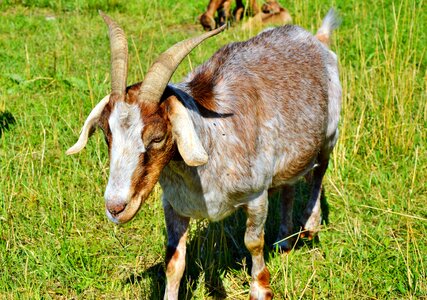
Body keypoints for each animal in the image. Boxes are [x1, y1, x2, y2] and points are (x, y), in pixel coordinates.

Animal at [66, 9, 342, 300]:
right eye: (106, 133)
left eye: (157, 137)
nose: (116, 208)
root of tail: (314, 37)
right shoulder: (174, 205)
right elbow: (174, 261)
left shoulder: (256, 194)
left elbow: (253, 242)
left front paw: (261, 288)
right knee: (289, 185)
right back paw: (284, 241)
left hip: (329, 133)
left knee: (319, 172)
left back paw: (310, 225)